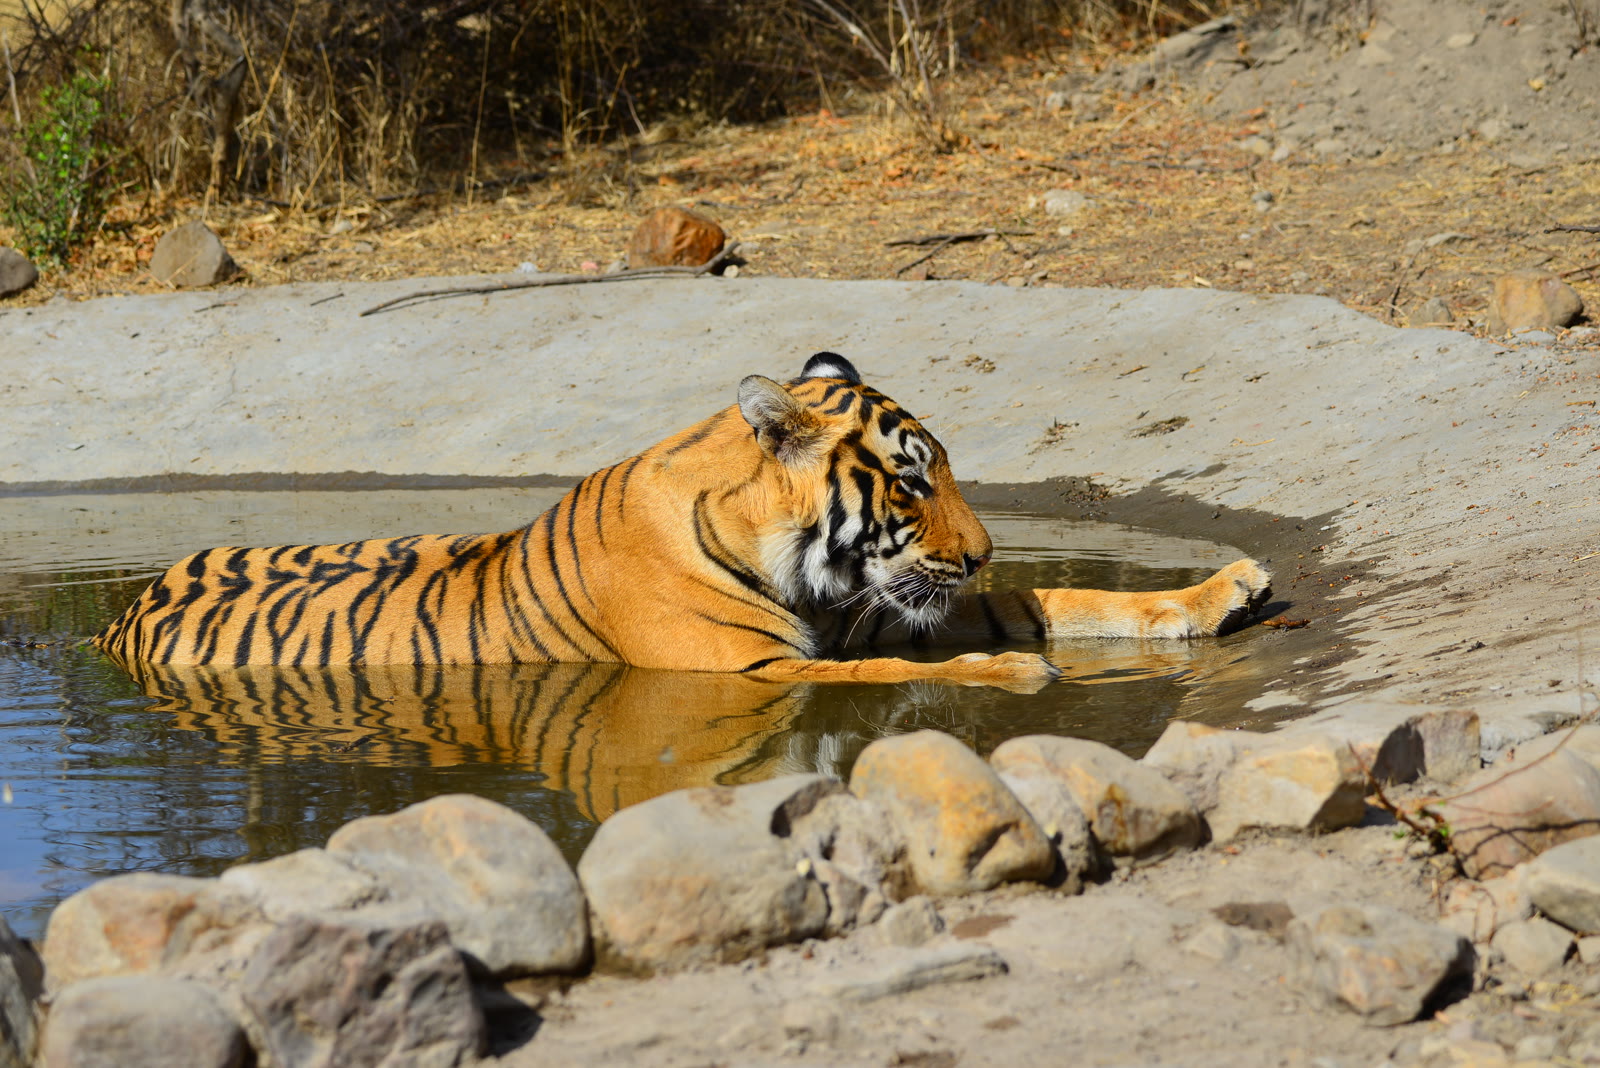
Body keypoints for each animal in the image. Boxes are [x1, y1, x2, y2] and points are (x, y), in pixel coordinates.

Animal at [93, 352, 1272, 689]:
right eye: (907, 483)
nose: (978, 552)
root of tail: (118, 614)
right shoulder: (757, 670)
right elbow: (902, 671)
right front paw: (1015, 673)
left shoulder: (876, 607)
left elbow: (1060, 595)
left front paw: (1220, 592)